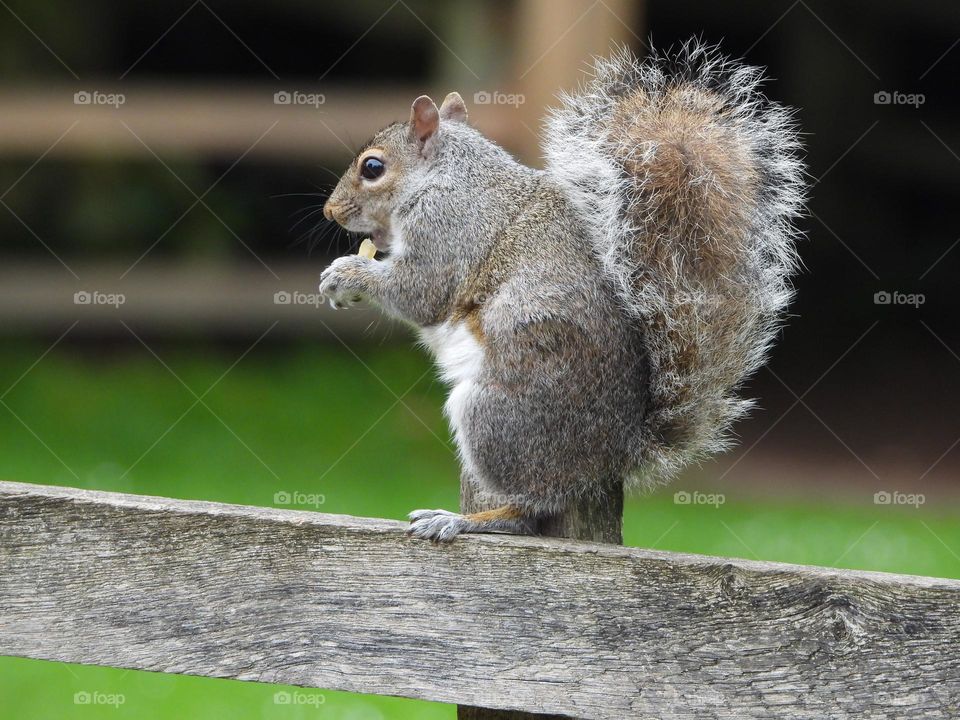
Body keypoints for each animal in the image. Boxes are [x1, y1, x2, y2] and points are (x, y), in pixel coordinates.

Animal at [319, 41, 804, 542]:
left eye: (372, 167)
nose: (330, 211)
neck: (448, 174)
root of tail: (611, 458)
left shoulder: (447, 227)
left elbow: (420, 292)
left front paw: (348, 274)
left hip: (494, 414)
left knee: (530, 508)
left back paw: (462, 520)